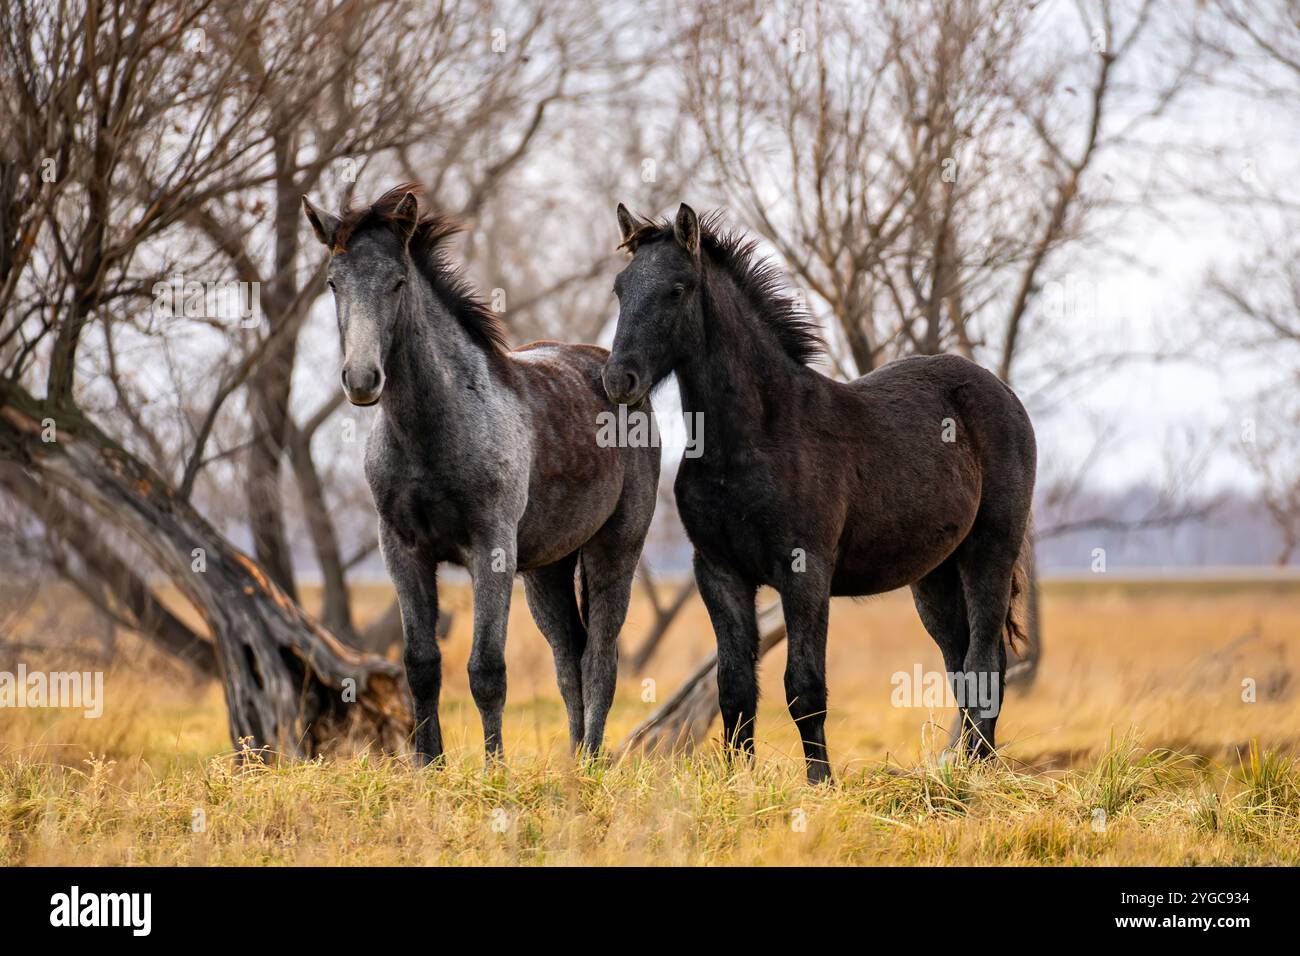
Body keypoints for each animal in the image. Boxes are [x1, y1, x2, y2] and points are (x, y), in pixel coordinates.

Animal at [302, 184, 660, 764]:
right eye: (334, 282)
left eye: (397, 281)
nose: (361, 379)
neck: (429, 433)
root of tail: (619, 379)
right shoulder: (401, 551)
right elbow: (422, 666)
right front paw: (429, 765)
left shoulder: (491, 549)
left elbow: (486, 671)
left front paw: (494, 769)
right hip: (546, 569)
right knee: (569, 660)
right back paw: (573, 763)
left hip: (615, 549)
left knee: (600, 659)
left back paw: (590, 763)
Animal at [602, 203, 1036, 784]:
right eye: (621, 288)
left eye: (677, 288)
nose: (618, 380)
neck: (752, 437)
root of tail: (1002, 391)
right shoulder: (718, 571)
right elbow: (734, 688)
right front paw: (740, 780)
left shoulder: (805, 571)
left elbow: (804, 688)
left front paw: (820, 783)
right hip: (934, 575)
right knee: (963, 662)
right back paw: (958, 766)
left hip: (989, 551)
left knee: (985, 659)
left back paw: (975, 772)